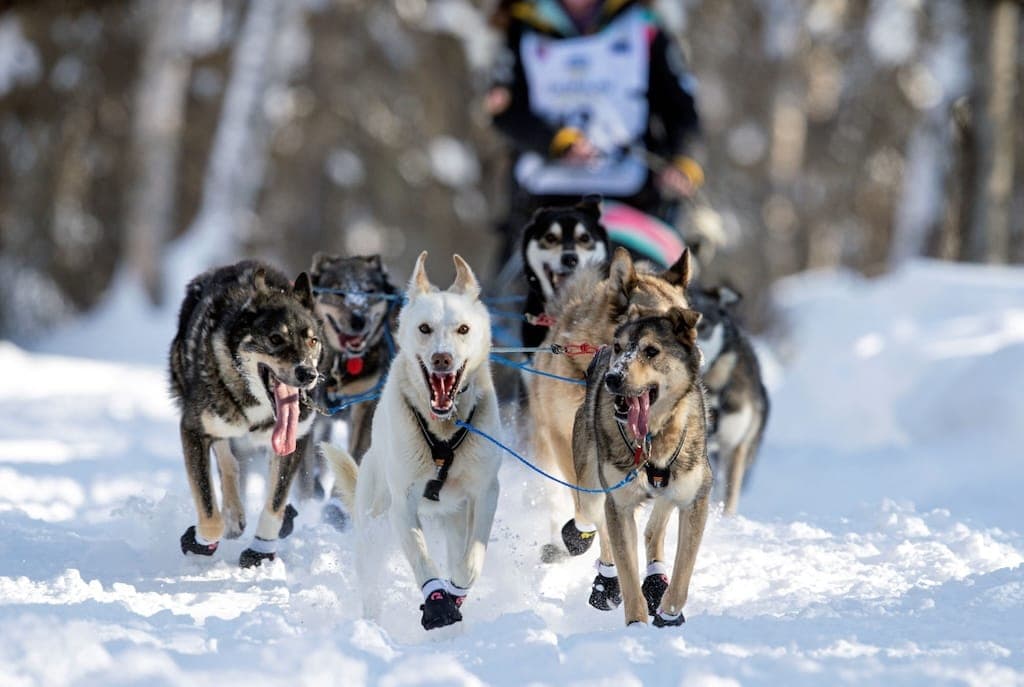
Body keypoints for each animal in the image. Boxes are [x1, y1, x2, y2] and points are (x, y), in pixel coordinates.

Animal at [166, 261, 323, 565]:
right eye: (275, 338)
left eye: (312, 340)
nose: (308, 374)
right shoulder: (193, 430)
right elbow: (209, 513)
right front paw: (201, 541)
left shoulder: (294, 439)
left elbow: (275, 503)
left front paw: (260, 550)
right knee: (228, 460)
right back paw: (232, 515)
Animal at [296, 254, 399, 528]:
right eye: (339, 292)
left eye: (370, 291)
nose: (358, 319)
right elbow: (305, 467)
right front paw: (306, 507)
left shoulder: (364, 407)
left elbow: (356, 453)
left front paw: (337, 507)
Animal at [321, 253, 501, 634]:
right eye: (424, 328)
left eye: (463, 329)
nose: (442, 359)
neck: (443, 430)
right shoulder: (403, 502)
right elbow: (421, 558)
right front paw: (437, 602)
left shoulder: (486, 492)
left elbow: (470, 561)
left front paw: (455, 594)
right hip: (373, 524)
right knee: (370, 582)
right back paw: (371, 627)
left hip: (454, 517)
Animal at [569, 311, 712, 630]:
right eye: (619, 347)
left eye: (651, 351)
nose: (613, 378)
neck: (651, 439)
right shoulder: (618, 504)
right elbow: (628, 576)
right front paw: (637, 625)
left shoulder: (694, 498)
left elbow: (683, 574)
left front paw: (668, 615)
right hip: (592, 492)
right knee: (597, 523)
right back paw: (606, 580)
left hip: (671, 489)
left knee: (653, 529)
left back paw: (657, 578)